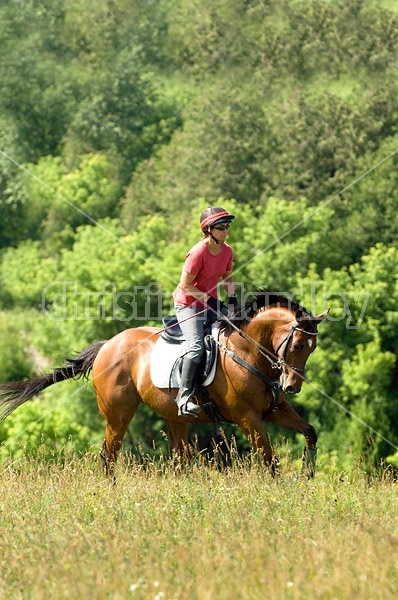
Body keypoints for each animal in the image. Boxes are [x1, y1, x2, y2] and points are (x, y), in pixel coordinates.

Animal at [0, 292, 328, 476]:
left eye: (312, 348)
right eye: (298, 344)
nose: (292, 387)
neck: (248, 352)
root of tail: (108, 345)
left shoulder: (275, 411)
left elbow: (310, 432)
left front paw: (308, 472)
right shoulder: (248, 419)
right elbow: (269, 460)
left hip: (175, 418)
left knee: (179, 459)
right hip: (117, 415)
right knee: (109, 454)